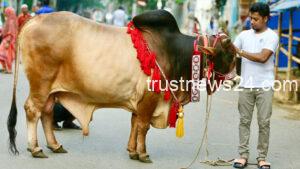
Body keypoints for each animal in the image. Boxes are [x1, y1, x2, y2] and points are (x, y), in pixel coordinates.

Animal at [7, 10, 236, 162]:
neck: (175, 51)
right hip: (41, 85)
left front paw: (132, 151)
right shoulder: (150, 99)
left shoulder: (139, 101)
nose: (235, 79)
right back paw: (35, 148)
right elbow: (143, 126)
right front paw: (143, 154)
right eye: (230, 54)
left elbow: (134, 124)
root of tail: (33, 20)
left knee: (46, 113)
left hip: (50, 91)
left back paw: (54, 145)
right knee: (32, 110)